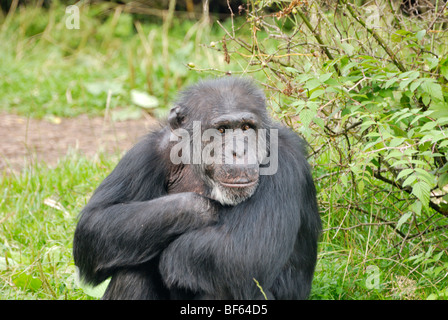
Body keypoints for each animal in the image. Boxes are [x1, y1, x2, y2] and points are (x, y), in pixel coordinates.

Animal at [72, 77, 322, 300]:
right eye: (221, 130)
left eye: (246, 127)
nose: (239, 151)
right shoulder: (148, 152)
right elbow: (95, 223)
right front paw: (204, 208)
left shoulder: (285, 160)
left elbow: (245, 254)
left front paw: (167, 258)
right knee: (130, 273)